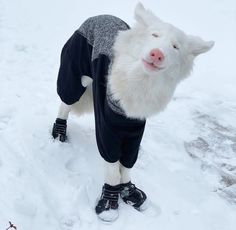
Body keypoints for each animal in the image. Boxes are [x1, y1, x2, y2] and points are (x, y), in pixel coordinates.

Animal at [51, 1, 214, 221]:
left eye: (175, 46)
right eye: (154, 35)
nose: (157, 54)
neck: (140, 80)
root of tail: (100, 15)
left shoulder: (134, 128)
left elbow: (127, 163)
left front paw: (128, 190)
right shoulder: (108, 126)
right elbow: (112, 167)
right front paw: (109, 202)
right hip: (75, 77)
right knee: (65, 103)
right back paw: (59, 131)